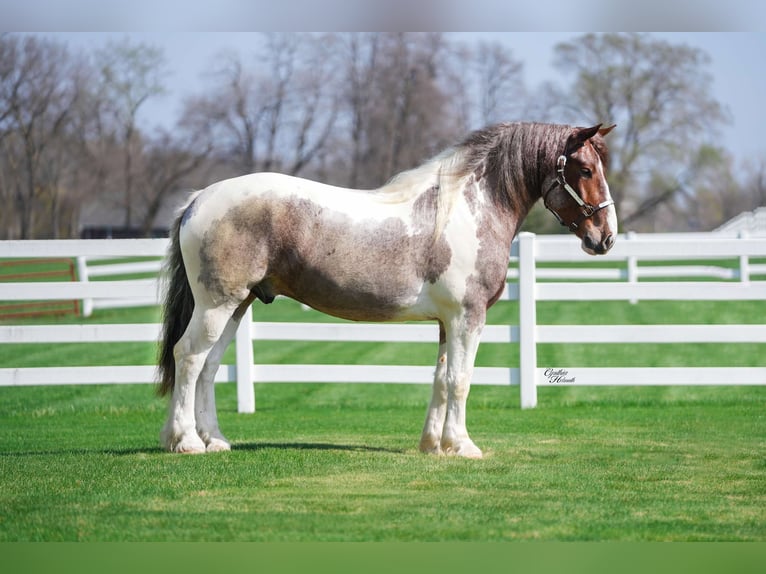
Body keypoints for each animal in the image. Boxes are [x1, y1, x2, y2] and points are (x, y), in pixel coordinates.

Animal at [157, 121, 617, 458]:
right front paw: (463, 446)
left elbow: (441, 378)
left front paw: (434, 446)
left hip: (237, 305)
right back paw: (187, 441)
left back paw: (215, 440)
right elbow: (461, 379)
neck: (469, 207)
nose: (606, 238)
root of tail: (199, 199)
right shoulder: (468, 316)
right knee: (189, 357)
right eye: (586, 170)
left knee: (209, 366)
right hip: (217, 305)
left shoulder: (447, 321)